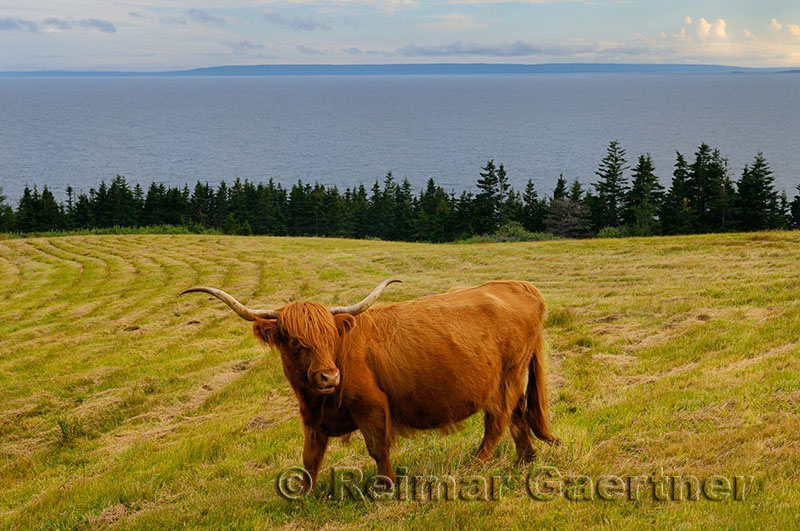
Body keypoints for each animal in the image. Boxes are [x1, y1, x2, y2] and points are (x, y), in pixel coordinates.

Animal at [180, 280, 556, 492]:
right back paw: (525, 460)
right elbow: (309, 457)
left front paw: (385, 486)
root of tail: (520, 285)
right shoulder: (312, 418)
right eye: (295, 341)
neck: (319, 399)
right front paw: (301, 494)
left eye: (329, 337)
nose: (329, 377)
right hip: (513, 376)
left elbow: (377, 448)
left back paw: (474, 465)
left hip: (506, 376)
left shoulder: (372, 407)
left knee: (499, 419)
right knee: (519, 414)